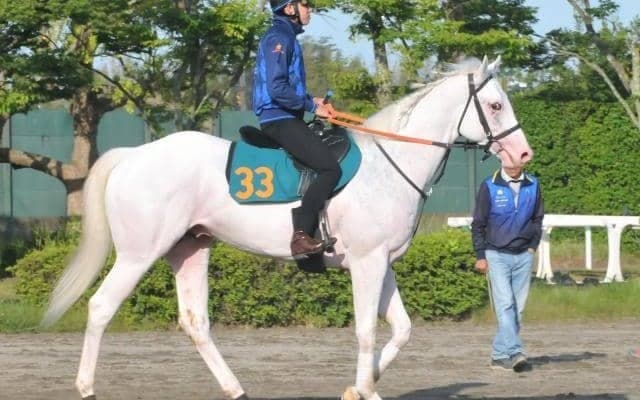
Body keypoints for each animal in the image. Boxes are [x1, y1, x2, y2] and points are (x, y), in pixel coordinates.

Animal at [42, 56, 532, 400]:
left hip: (190, 250)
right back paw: (86, 387)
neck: (390, 165)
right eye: (495, 105)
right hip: (138, 255)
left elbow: (402, 329)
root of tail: (133, 155)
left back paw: (235, 388)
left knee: (196, 322)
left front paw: (361, 385)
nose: (523, 156)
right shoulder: (367, 265)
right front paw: (364, 387)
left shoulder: (383, 265)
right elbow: (367, 330)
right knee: (101, 307)